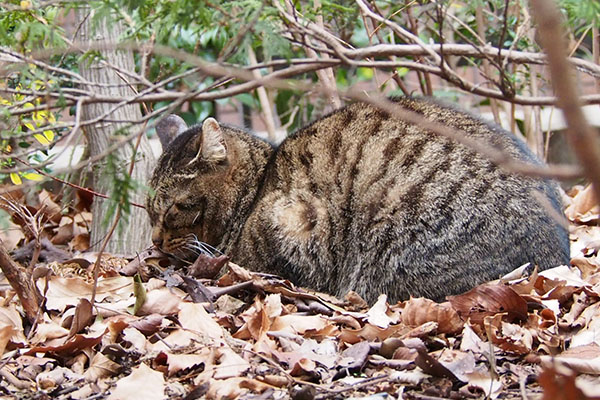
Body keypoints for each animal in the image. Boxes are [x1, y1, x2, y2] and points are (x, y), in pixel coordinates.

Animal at [148, 97, 568, 304]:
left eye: (171, 208)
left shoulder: (299, 222)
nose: (154, 240)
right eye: (150, 211)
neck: (257, 189)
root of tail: (558, 259)